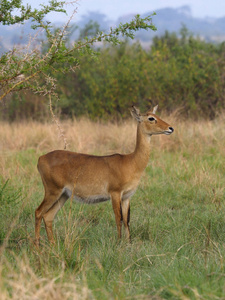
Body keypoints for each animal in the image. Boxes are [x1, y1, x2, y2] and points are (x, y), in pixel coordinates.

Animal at [35, 104, 174, 245]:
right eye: (151, 118)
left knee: (48, 216)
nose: (170, 128)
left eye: (156, 115)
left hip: (63, 195)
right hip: (52, 192)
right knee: (38, 212)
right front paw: (118, 243)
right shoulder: (115, 193)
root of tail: (41, 158)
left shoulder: (127, 197)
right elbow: (118, 218)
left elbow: (127, 220)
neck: (131, 162)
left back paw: (53, 244)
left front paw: (128, 243)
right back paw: (37, 245)